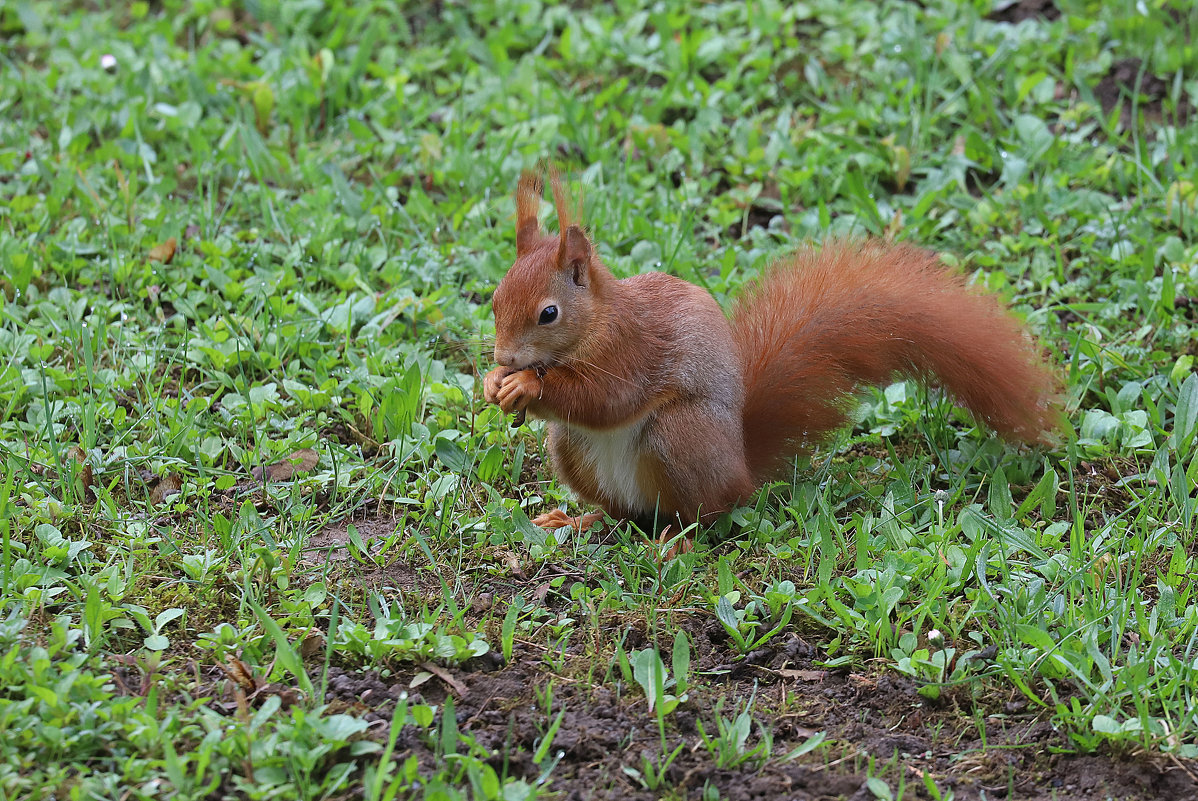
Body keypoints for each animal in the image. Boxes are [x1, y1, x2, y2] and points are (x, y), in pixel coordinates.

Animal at [476, 172, 1059, 541]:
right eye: (495, 298)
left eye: (549, 313)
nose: (506, 354)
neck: (596, 322)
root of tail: (742, 469)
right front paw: (492, 381)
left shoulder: (632, 349)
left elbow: (606, 398)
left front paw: (527, 384)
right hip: (573, 452)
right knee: (622, 513)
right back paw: (579, 522)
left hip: (681, 436)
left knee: (703, 515)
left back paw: (675, 541)